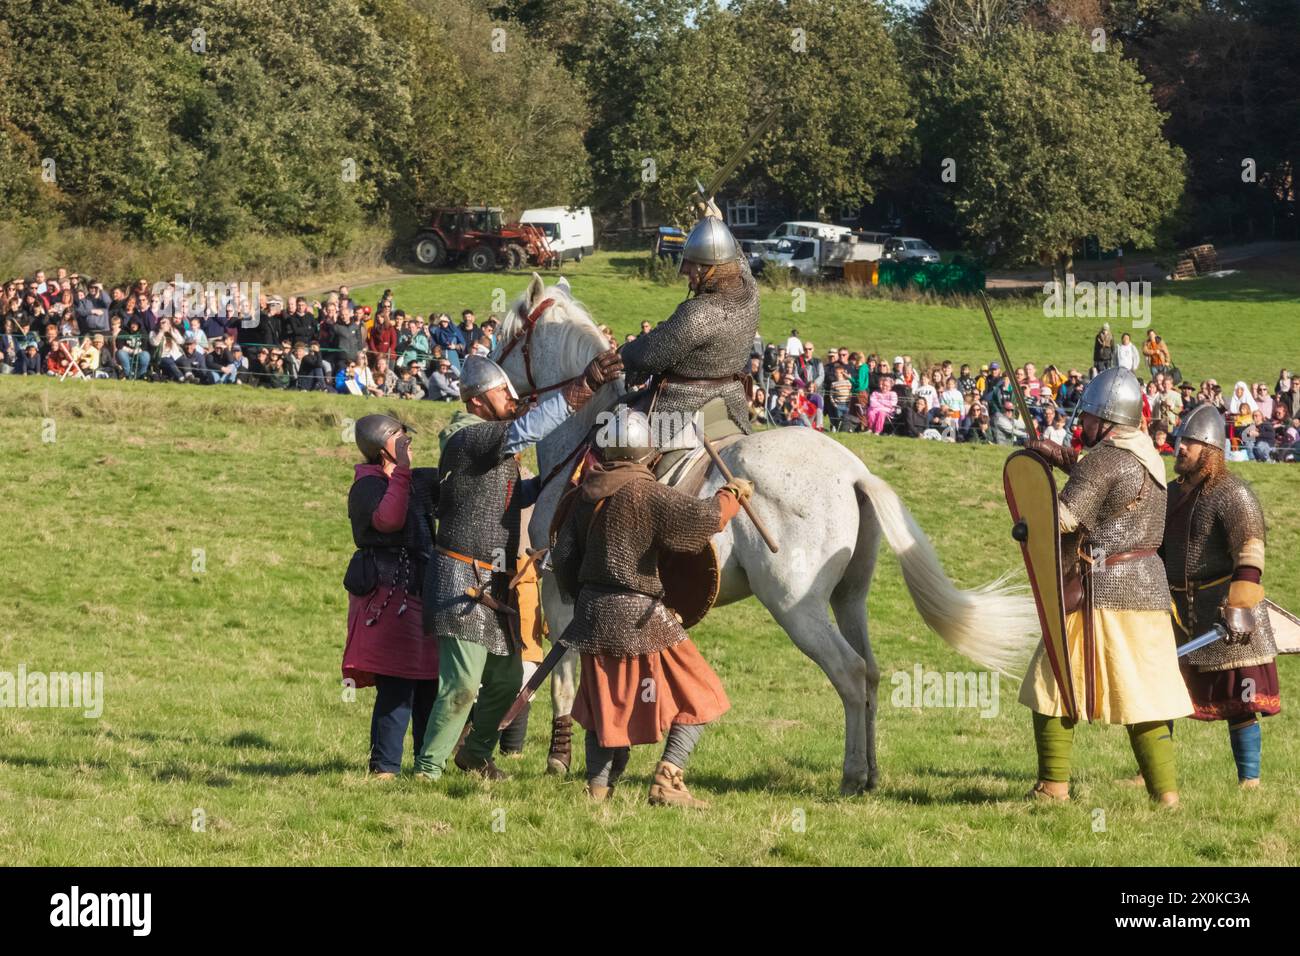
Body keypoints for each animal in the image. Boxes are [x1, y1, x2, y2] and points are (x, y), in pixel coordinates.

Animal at [491, 274, 1040, 790]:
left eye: (509, 335)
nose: (492, 386)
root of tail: (853, 473)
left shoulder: (561, 589)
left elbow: (563, 679)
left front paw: (560, 757)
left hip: (795, 604)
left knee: (849, 672)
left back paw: (851, 774)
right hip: (849, 597)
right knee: (871, 671)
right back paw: (871, 771)